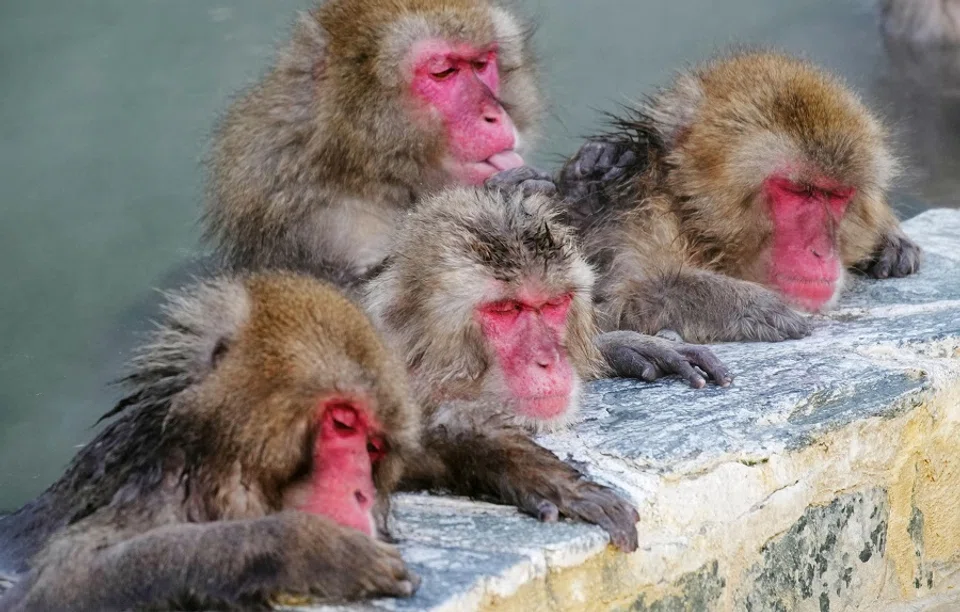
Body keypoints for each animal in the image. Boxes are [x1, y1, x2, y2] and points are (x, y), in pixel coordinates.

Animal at [0, 273, 421, 611]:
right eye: (343, 422)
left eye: (374, 448)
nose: (361, 494)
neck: (212, 476)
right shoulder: (157, 497)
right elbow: (56, 587)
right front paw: (309, 549)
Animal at [548, 50, 922, 344]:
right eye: (798, 190)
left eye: (834, 195)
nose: (820, 251)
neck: (691, 221)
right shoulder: (635, 223)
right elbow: (602, 308)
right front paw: (737, 304)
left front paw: (890, 238)